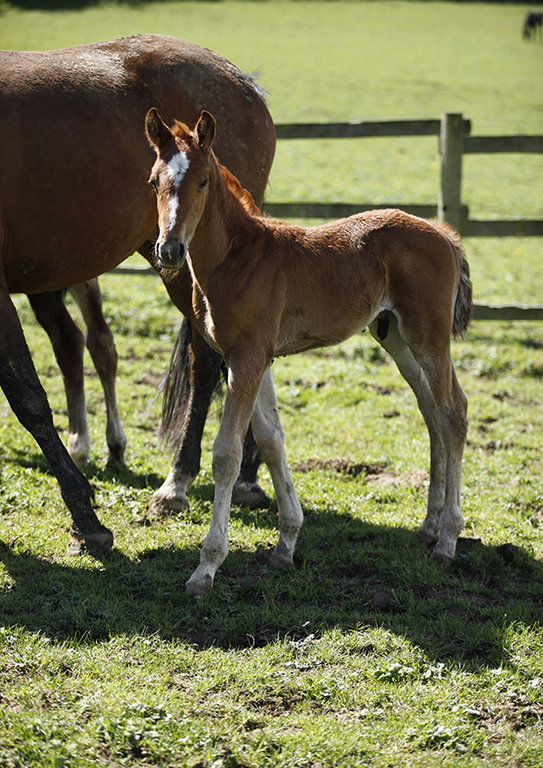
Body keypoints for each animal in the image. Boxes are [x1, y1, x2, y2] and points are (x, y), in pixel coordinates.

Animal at [0, 34, 274, 552]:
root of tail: (242, 80)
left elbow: (28, 396)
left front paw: (86, 516)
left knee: (208, 363)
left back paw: (182, 482)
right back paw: (243, 475)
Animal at [144, 109, 472, 600]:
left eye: (202, 181)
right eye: (154, 181)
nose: (169, 249)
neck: (237, 259)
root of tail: (444, 234)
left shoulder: (248, 358)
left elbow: (228, 454)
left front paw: (206, 568)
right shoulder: (252, 359)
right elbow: (271, 440)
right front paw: (286, 544)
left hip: (429, 335)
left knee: (454, 412)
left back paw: (448, 541)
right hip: (394, 334)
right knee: (431, 410)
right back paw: (429, 527)